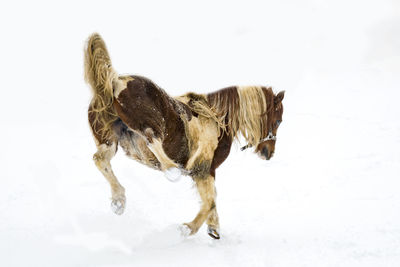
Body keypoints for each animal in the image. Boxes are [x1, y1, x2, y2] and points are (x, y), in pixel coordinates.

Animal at [84, 33, 284, 241]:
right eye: (278, 120)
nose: (268, 152)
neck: (217, 117)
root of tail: (116, 81)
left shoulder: (206, 172)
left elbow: (211, 199)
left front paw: (213, 230)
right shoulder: (203, 169)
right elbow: (210, 201)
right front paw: (189, 228)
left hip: (109, 140)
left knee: (100, 160)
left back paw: (118, 200)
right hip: (148, 123)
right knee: (152, 138)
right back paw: (171, 170)